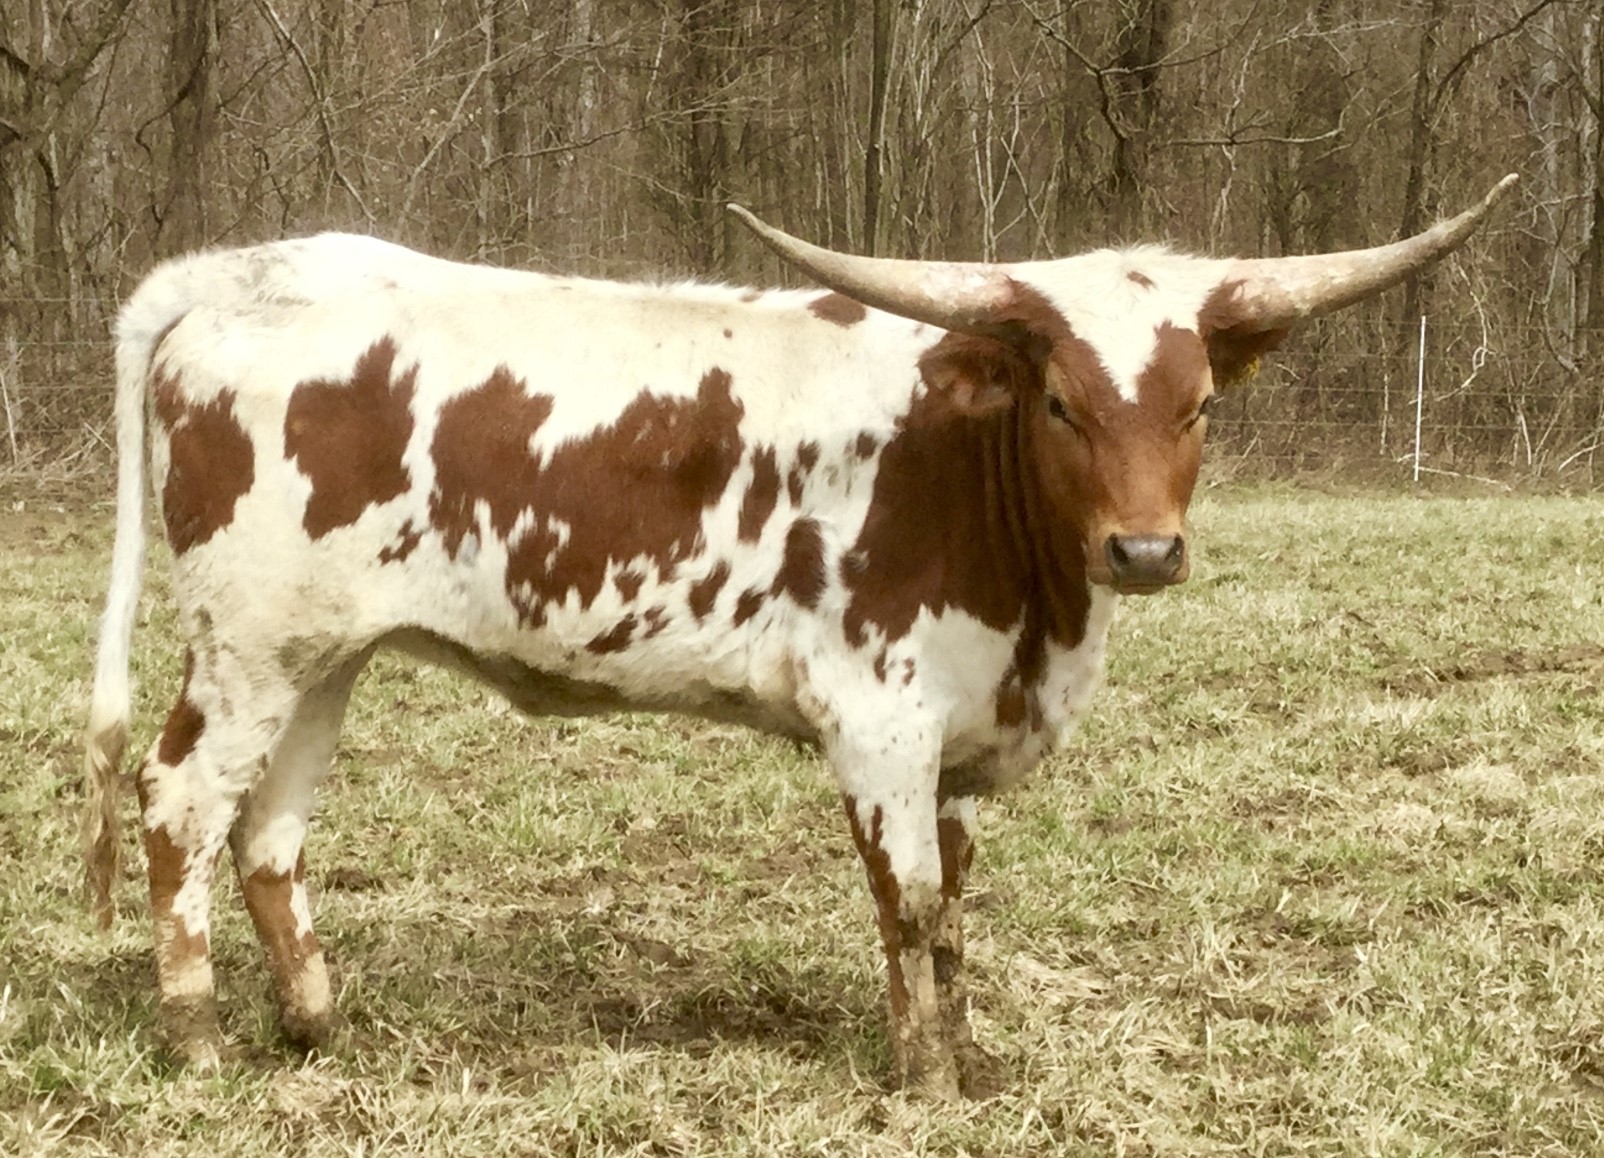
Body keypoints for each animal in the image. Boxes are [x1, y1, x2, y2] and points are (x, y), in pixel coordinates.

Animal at [82, 175, 1515, 1098]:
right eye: (1058, 399)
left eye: (1199, 402)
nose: (1145, 551)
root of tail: (248, 273)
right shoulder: (878, 720)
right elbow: (909, 902)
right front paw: (922, 1079)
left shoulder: (959, 733)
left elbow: (954, 910)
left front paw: (967, 1055)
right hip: (247, 643)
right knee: (181, 801)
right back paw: (196, 1034)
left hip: (324, 654)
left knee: (269, 831)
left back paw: (314, 1024)